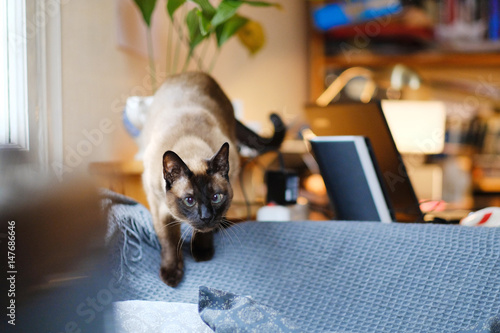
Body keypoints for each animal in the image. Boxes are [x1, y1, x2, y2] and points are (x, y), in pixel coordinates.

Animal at [141, 72, 286, 286]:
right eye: (189, 200)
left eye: (216, 198)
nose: (206, 216)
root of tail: (194, 73)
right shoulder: (158, 206)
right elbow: (169, 241)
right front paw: (172, 274)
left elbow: (203, 232)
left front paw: (202, 252)